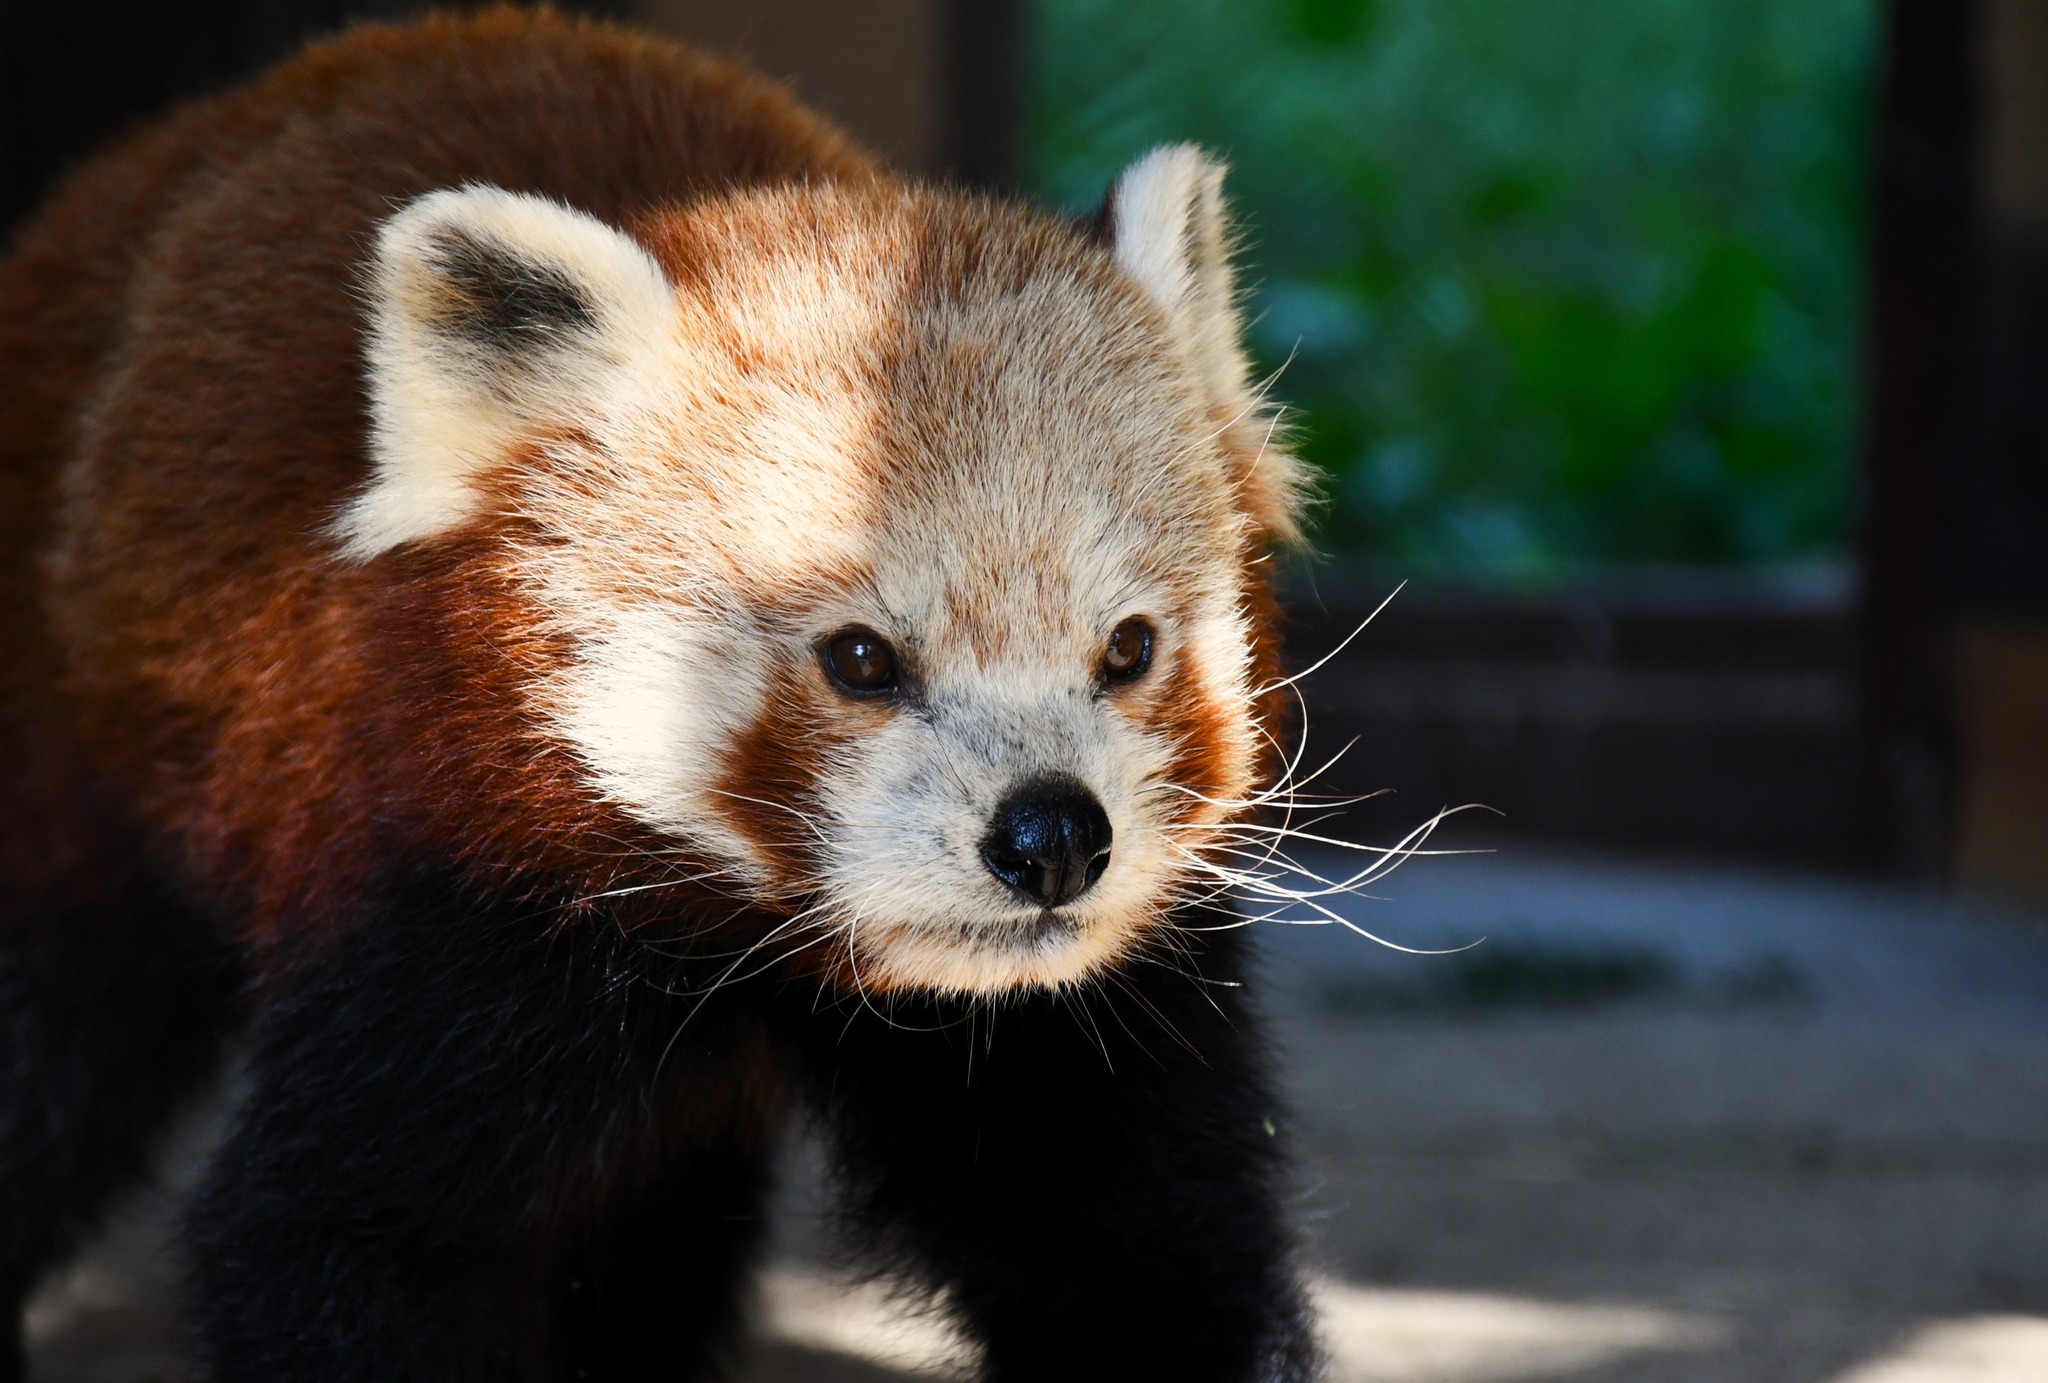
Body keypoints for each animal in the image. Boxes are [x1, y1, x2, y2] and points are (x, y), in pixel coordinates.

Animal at [0, 10, 1310, 1383]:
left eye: (1126, 649)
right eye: (860, 659)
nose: (1050, 837)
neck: (754, 947)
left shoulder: (1066, 1014)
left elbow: (1124, 1229)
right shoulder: (445, 892)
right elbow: (328, 1236)